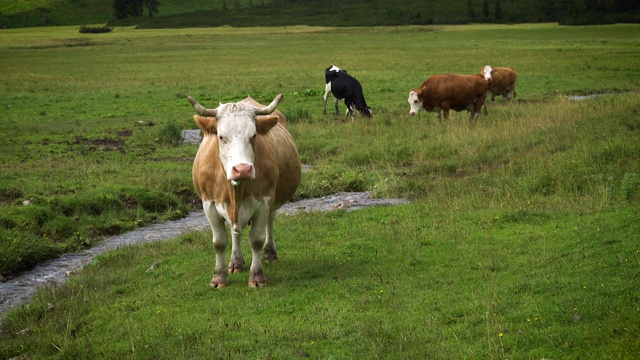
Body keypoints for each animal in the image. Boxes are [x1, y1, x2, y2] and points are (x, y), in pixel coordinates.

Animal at [189, 94, 302, 288]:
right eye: (221, 137)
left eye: (254, 135)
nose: (242, 169)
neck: (236, 189)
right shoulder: (208, 204)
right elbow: (219, 242)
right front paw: (218, 277)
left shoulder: (264, 201)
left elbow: (256, 239)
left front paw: (256, 277)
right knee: (235, 232)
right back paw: (236, 262)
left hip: (273, 201)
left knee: (270, 222)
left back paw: (270, 253)